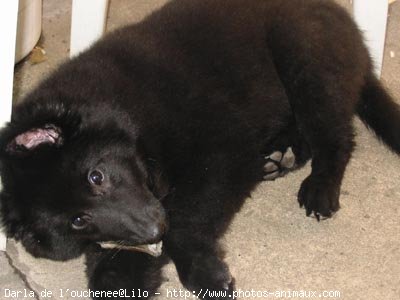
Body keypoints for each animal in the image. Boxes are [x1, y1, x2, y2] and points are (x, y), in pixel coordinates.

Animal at [0, 1, 400, 298]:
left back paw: (320, 188)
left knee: (336, 137)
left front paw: (201, 270)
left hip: (304, 57)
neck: (125, 111)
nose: (153, 228)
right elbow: (114, 263)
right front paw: (126, 276)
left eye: (96, 176)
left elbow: (188, 222)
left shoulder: (223, 159)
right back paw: (281, 157)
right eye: (78, 221)